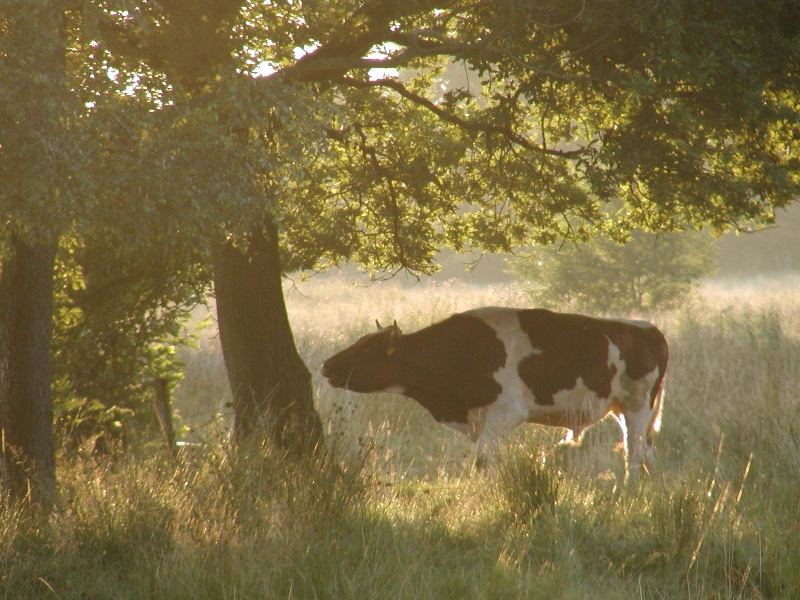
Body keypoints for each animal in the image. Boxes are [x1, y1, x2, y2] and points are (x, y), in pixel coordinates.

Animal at [320, 308, 668, 480]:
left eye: (367, 349)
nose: (326, 365)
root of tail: (647, 328)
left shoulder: (505, 414)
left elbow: (483, 462)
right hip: (622, 409)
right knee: (648, 452)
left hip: (637, 407)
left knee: (634, 454)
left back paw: (629, 492)